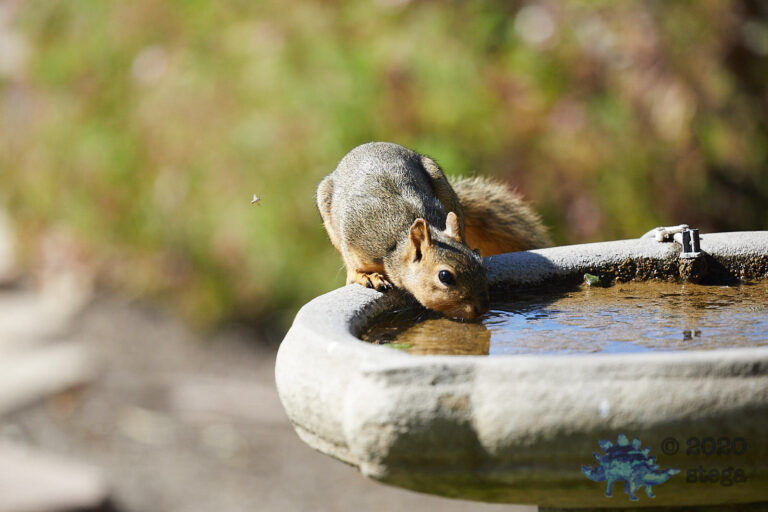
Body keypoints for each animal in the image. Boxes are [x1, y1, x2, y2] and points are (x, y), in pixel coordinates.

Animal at [316, 142, 550, 320]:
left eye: (480, 260)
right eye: (445, 276)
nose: (482, 308)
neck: (398, 243)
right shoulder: (356, 237)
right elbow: (353, 266)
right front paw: (366, 276)